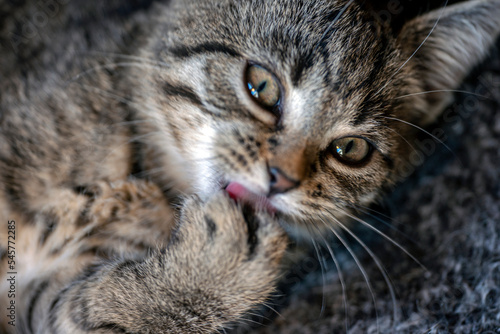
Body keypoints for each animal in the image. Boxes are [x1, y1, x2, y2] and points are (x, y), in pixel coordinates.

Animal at [0, 0, 500, 332]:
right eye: (261, 85)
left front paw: (199, 281)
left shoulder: (45, 299)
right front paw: (210, 268)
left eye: (351, 150)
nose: (281, 178)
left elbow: (80, 307)